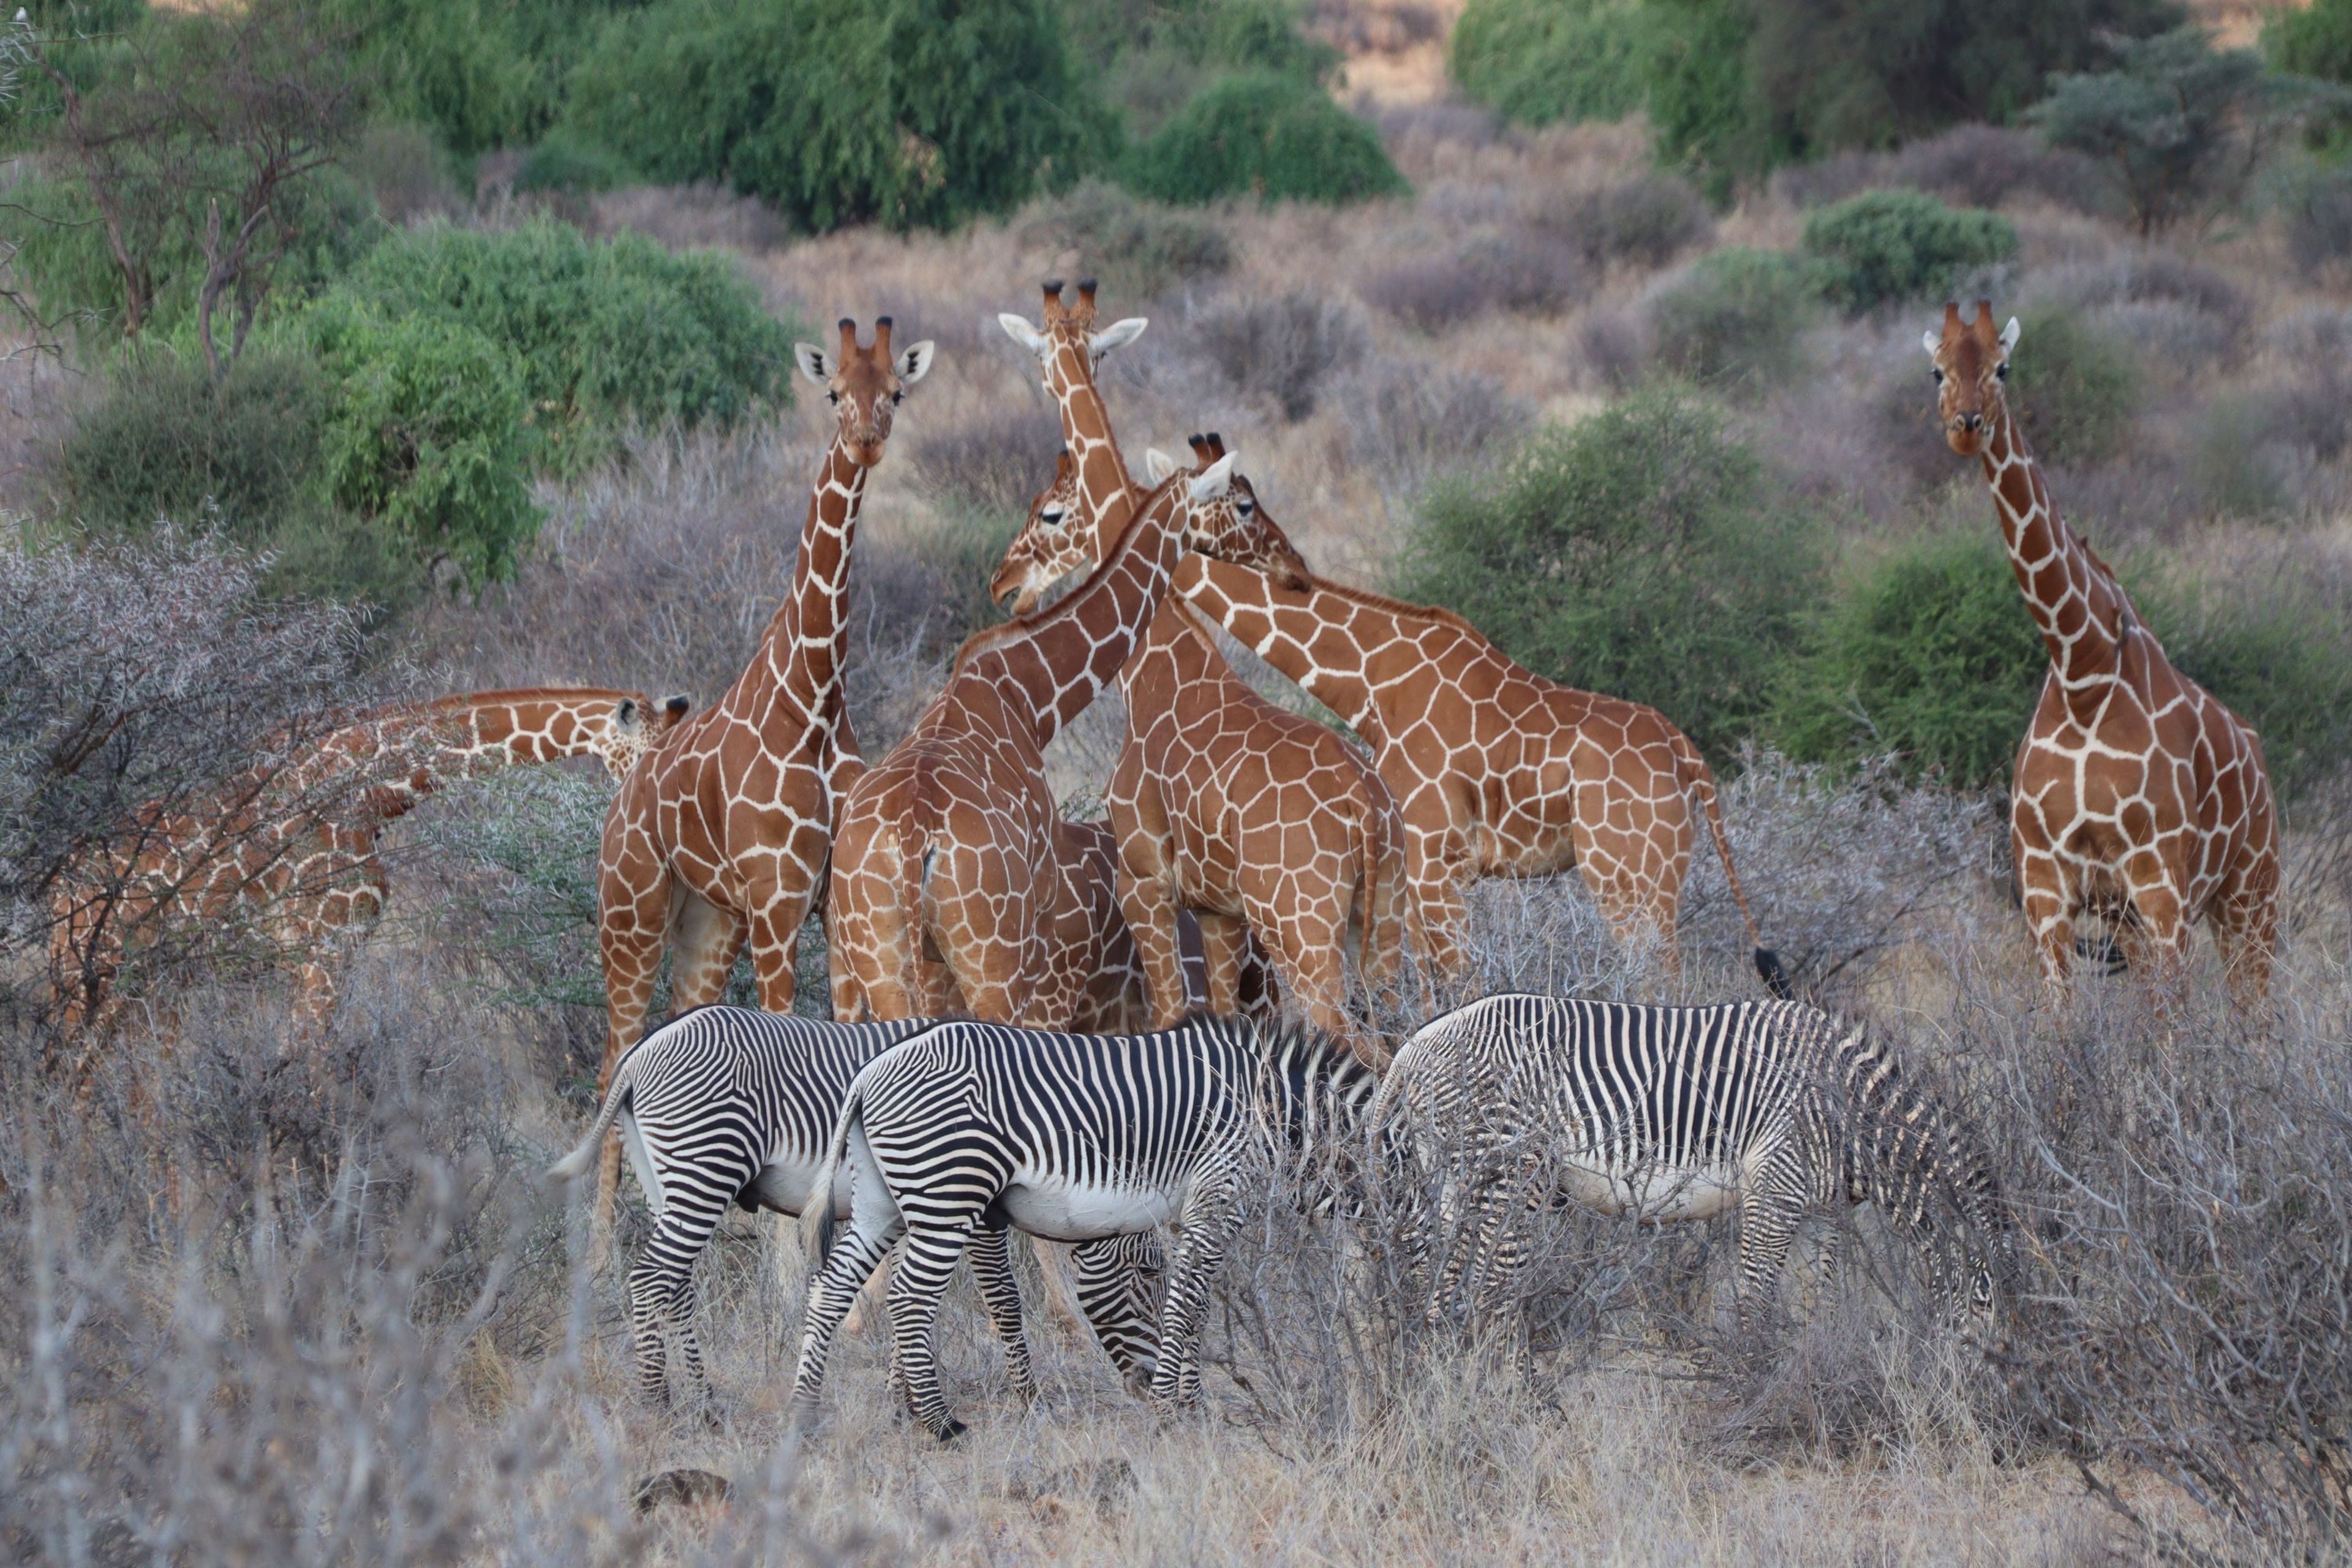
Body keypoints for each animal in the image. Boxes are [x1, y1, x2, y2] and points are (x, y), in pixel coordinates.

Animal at [547, 1005, 1159, 1410]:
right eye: (1150, 1274)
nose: (1149, 1387)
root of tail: (641, 1051)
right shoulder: (974, 1206)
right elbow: (1003, 1301)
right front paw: (1029, 1402)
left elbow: (906, 1299)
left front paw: (901, 1398)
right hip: (704, 1169)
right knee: (651, 1278)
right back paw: (660, 1401)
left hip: (664, 1182)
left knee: (674, 1284)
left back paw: (704, 1401)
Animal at [788, 1015, 1381, 1442]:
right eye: (1145, 1273)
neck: (1271, 1113)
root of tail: (870, 1072)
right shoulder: (1218, 1196)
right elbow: (1188, 1305)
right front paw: (1172, 1411)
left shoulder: (1194, 1211)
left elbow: (1194, 1306)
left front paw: (1191, 1404)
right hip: (949, 1190)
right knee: (910, 1297)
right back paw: (941, 1424)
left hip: (881, 1199)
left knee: (833, 1286)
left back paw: (805, 1412)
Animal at [1371, 993, 2013, 1341]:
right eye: (1987, 1303)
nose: (1986, 1404)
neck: (1848, 1110)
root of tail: (1412, 1047)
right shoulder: (1776, 1185)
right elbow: (1756, 1298)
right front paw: (1753, 1388)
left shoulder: (1821, 1207)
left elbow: (1819, 1298)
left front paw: (1813, 1371)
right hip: (1508, 1175)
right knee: (1488, 1292)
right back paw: (1505, 1394)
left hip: (1454, 1181)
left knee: (1444, 1289)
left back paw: (1442, 1382)